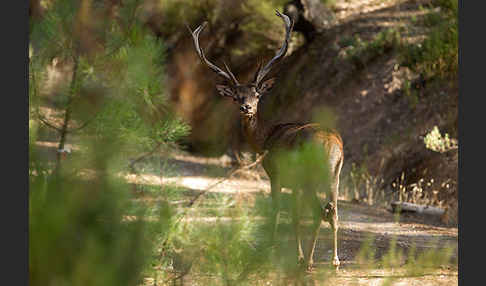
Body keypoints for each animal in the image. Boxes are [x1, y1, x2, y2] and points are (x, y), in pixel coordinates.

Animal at [188, 10, 344, 272]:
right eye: (236, 96)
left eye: (257, 95)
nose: (246, 107)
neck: (266, 138)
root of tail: (332, 144)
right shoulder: (294, 183)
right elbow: (294, 216)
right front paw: (295, 255)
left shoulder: (276, 174)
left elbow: (278, 210)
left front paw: (274, 251)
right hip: (335, 175)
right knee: (332, 211)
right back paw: (333, 261)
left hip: (310, 175)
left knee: (319, 211)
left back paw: (310, 262)